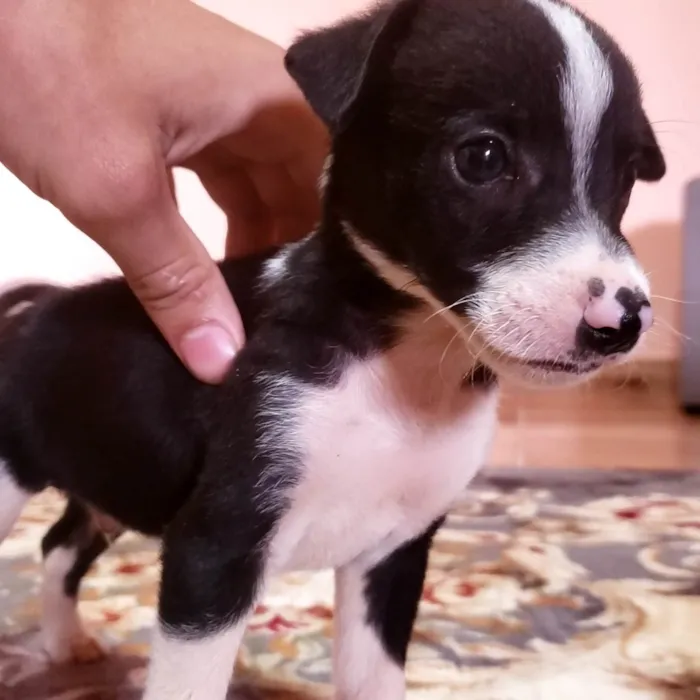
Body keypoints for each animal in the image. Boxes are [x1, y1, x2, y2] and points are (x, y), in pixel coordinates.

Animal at [0, 0, 664, 696]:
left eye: (626, 176)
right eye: (483, 157)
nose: (623, 320)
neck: (402, 365)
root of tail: (33, 310)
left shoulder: (392, 557)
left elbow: (374, 678)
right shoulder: (213, 552)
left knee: (58, 546)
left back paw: (65, 643)